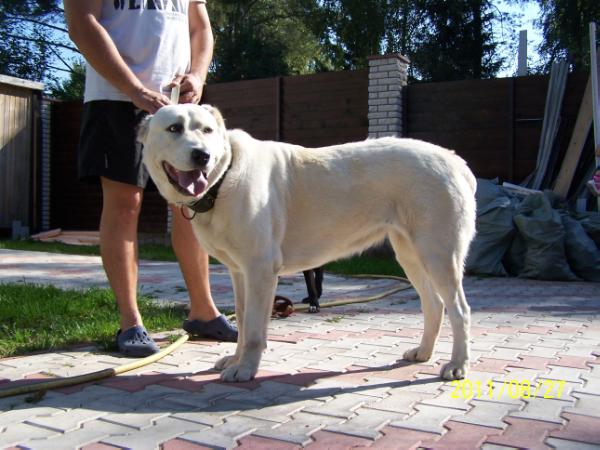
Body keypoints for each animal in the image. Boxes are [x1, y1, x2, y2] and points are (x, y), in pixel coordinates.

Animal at [138, 103, 476, 382]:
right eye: (174, 129)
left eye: (207, 131)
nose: (202, 155)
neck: (222, 180)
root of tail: (454, 159)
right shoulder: (239, 272)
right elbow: (244, 321)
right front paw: (235, 360)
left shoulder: (260, 269)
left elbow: (254, 329)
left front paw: (245, 368)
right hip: (410, 254)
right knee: (434, 305)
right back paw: (423, 353)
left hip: (438, 254)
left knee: (459, 309)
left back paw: (457, 365)